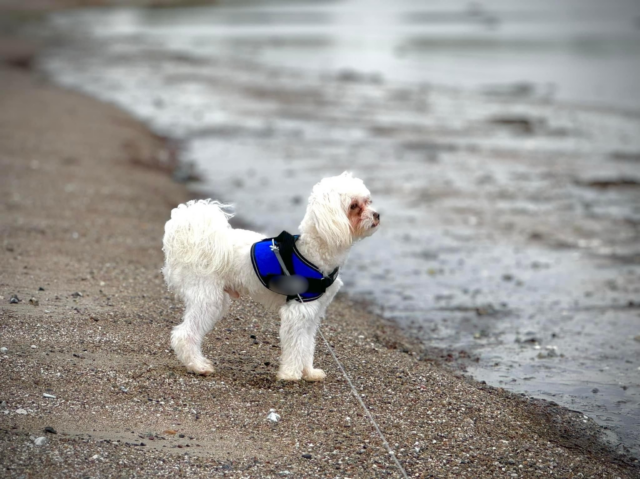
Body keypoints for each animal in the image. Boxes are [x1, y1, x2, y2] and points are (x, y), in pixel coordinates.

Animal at [162, 172, 380, 382]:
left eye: (368, 201)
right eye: (354, 206)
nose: (377, 214)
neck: (313, 251)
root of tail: (197, 242)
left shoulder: (312, 314)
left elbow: (307, 345)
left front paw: (308, 372)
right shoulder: (297, 311)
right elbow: (296, 345)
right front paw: (290, 374)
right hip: (207, 299)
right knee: (184, 335)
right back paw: (198, 366)